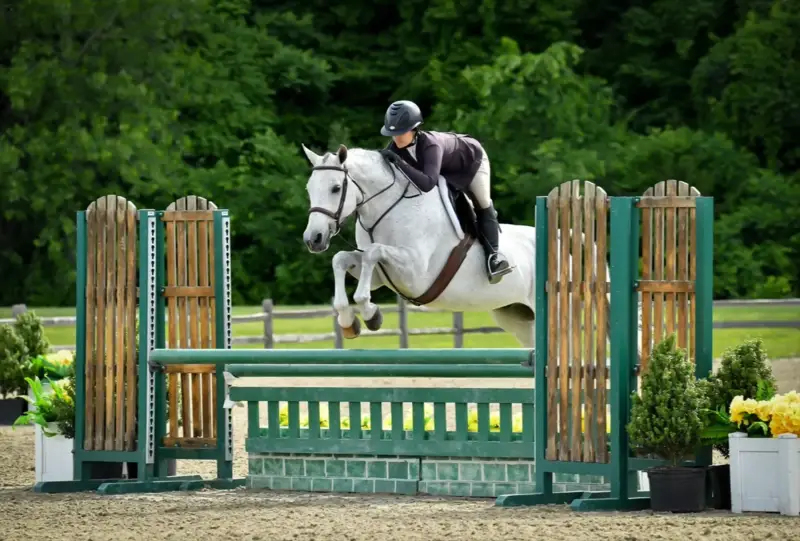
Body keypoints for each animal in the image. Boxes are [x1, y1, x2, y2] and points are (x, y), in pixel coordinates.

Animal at [299, 143, 623, 353]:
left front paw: (369, 313)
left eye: (335, 188)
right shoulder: (383, 275)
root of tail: (564, 240)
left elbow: (373, 252)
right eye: (310, 189)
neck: (387, 209)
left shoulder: (416, 273)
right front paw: (348, 320)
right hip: (517, 316)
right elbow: (342, 259)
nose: (313, 239)